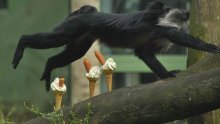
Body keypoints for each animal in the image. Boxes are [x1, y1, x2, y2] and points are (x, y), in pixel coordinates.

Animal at [12, 1, 220, 91]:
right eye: (182, 18)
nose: (186, 24)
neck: (162, 18)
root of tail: (86, 12)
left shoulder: (150, 41)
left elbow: (144, 54)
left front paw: (167, 74)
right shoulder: (158, 26)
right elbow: (175, 36)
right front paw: (210, 47)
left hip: (82, 37)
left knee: (70, 54)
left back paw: (49, 67)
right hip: (73, 27)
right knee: (53, 39)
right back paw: (21, 44)